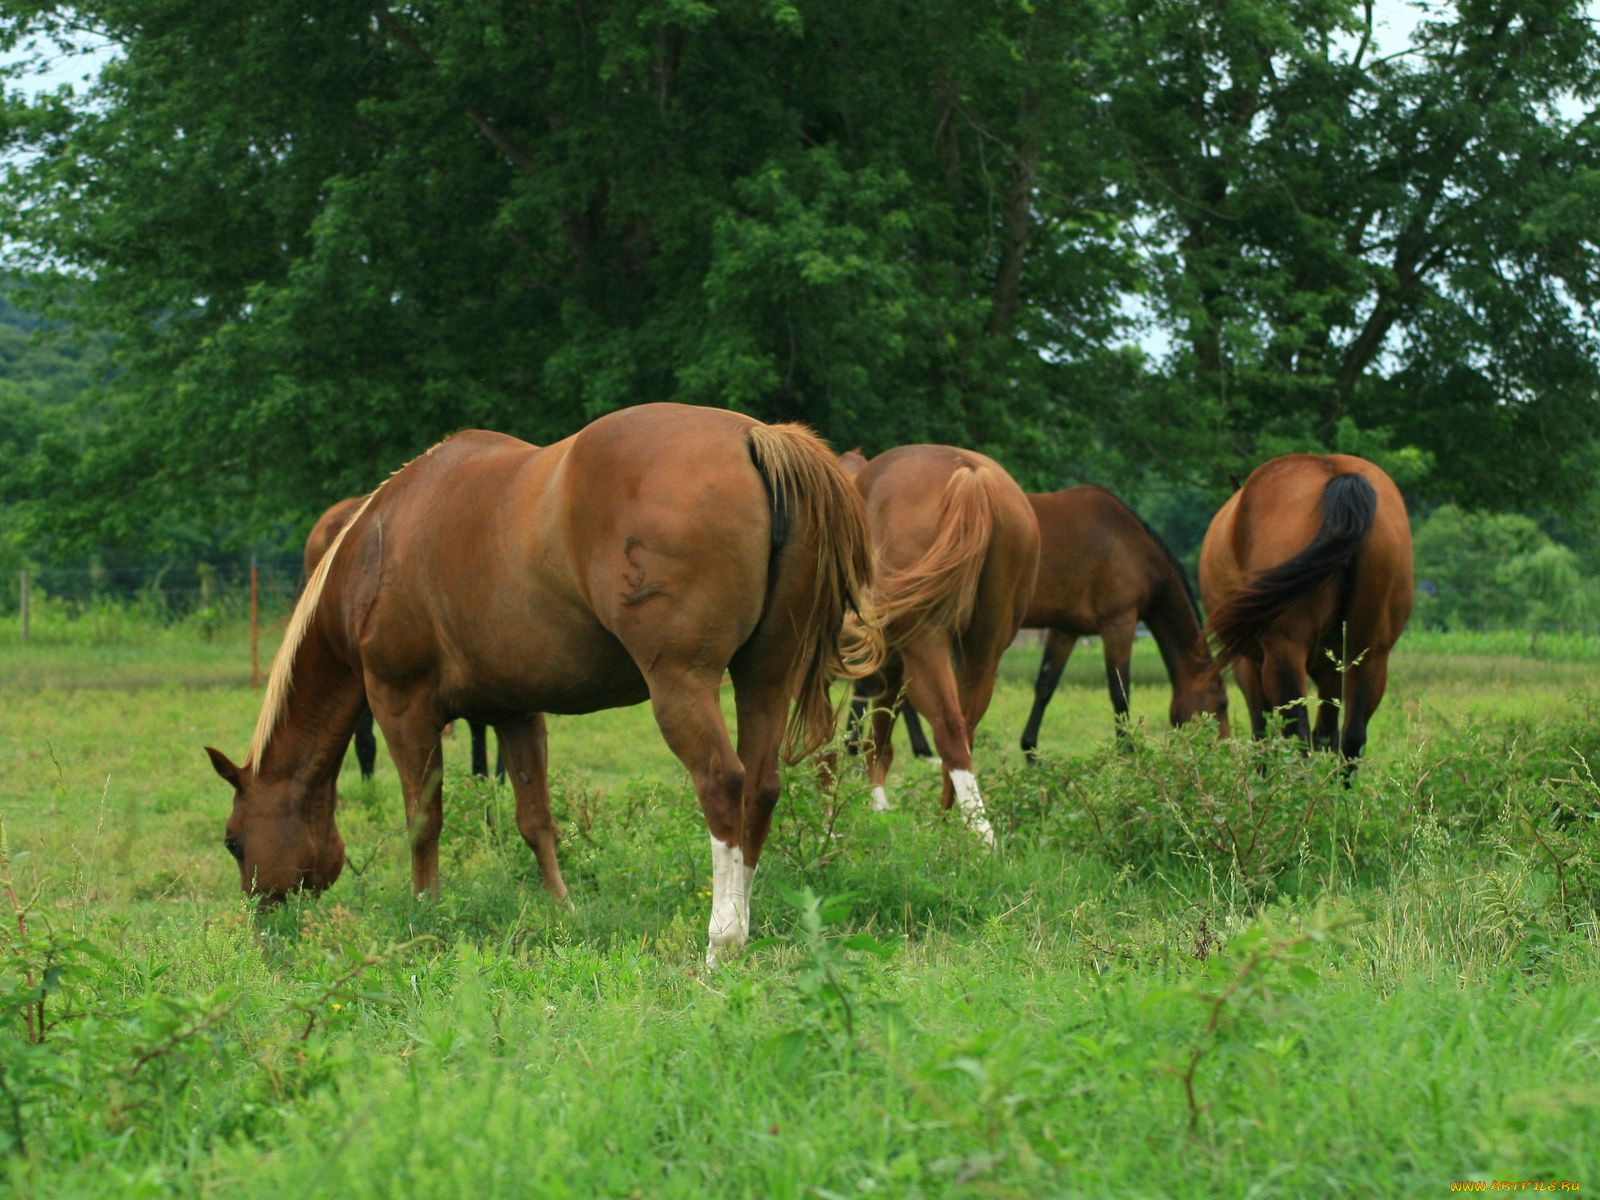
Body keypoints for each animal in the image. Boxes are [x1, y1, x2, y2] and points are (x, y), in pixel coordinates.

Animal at [844, 444, 1043, 844]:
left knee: (948, 726)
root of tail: (970, 476)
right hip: (983, 649)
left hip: (926, 642)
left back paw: (981, 835)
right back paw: (952, 825)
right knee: (964, 729)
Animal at [1203, 454, 1414, 764]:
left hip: (1284, 653)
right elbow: (1326, 734)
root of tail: (1336, 473)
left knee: (1296, 736)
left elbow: (1262, 732)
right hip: (1369, 656)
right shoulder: (1331, 671)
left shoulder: (1249, 667)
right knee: (1352, 737)